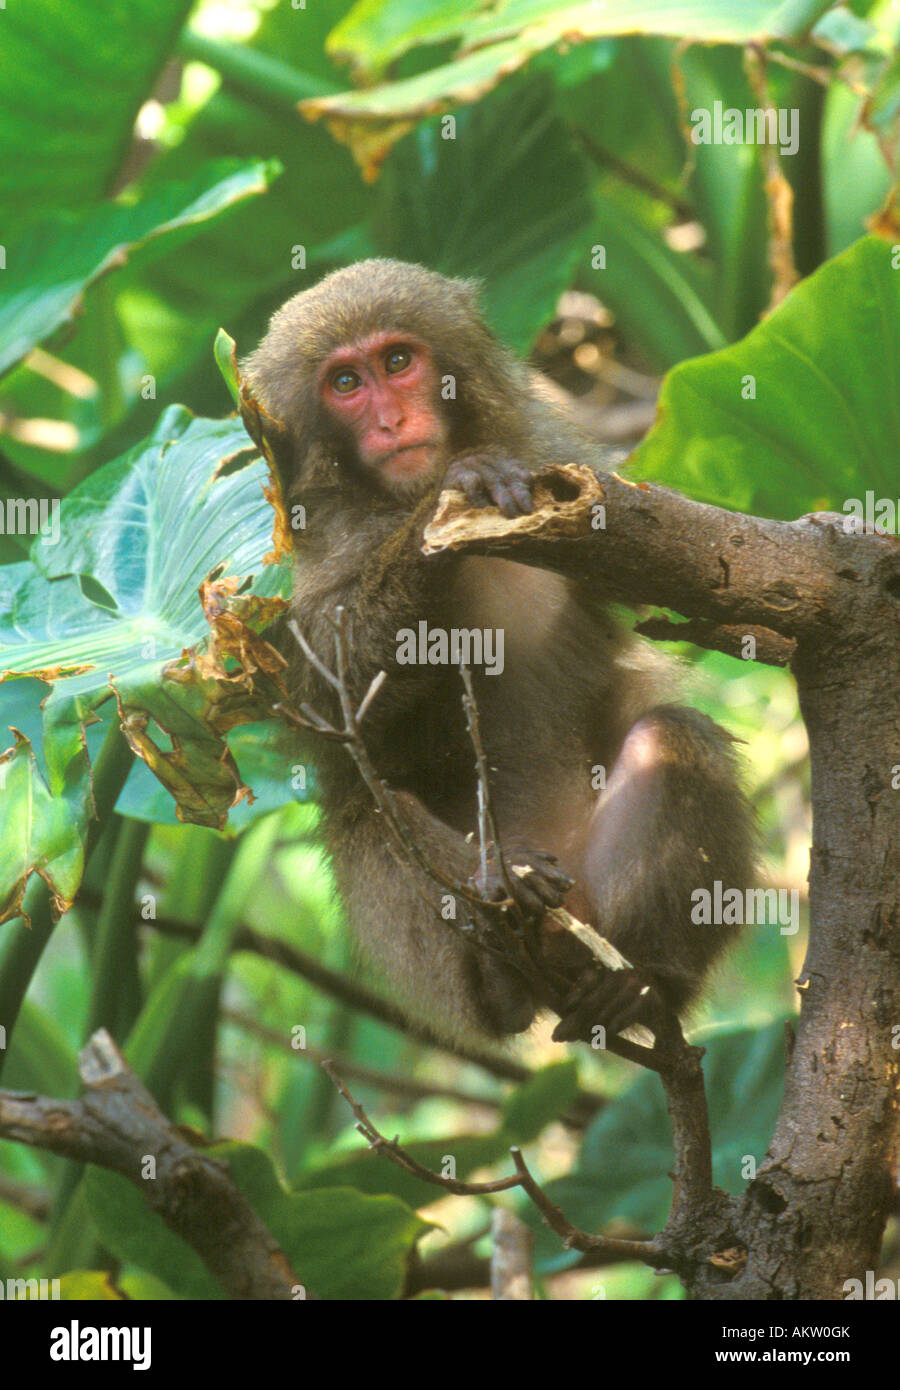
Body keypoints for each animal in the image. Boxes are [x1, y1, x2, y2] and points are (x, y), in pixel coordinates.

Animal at [239, 258, 751, 1045]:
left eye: (397, 361)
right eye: (345, 383)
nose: (390, 422)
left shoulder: (552, 454)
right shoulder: (308, 540)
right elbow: (317, 691)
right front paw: (440, 516)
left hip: (596, 894)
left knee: (672, 734)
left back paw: (644, 984)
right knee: (369, 808)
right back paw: (503, 943)